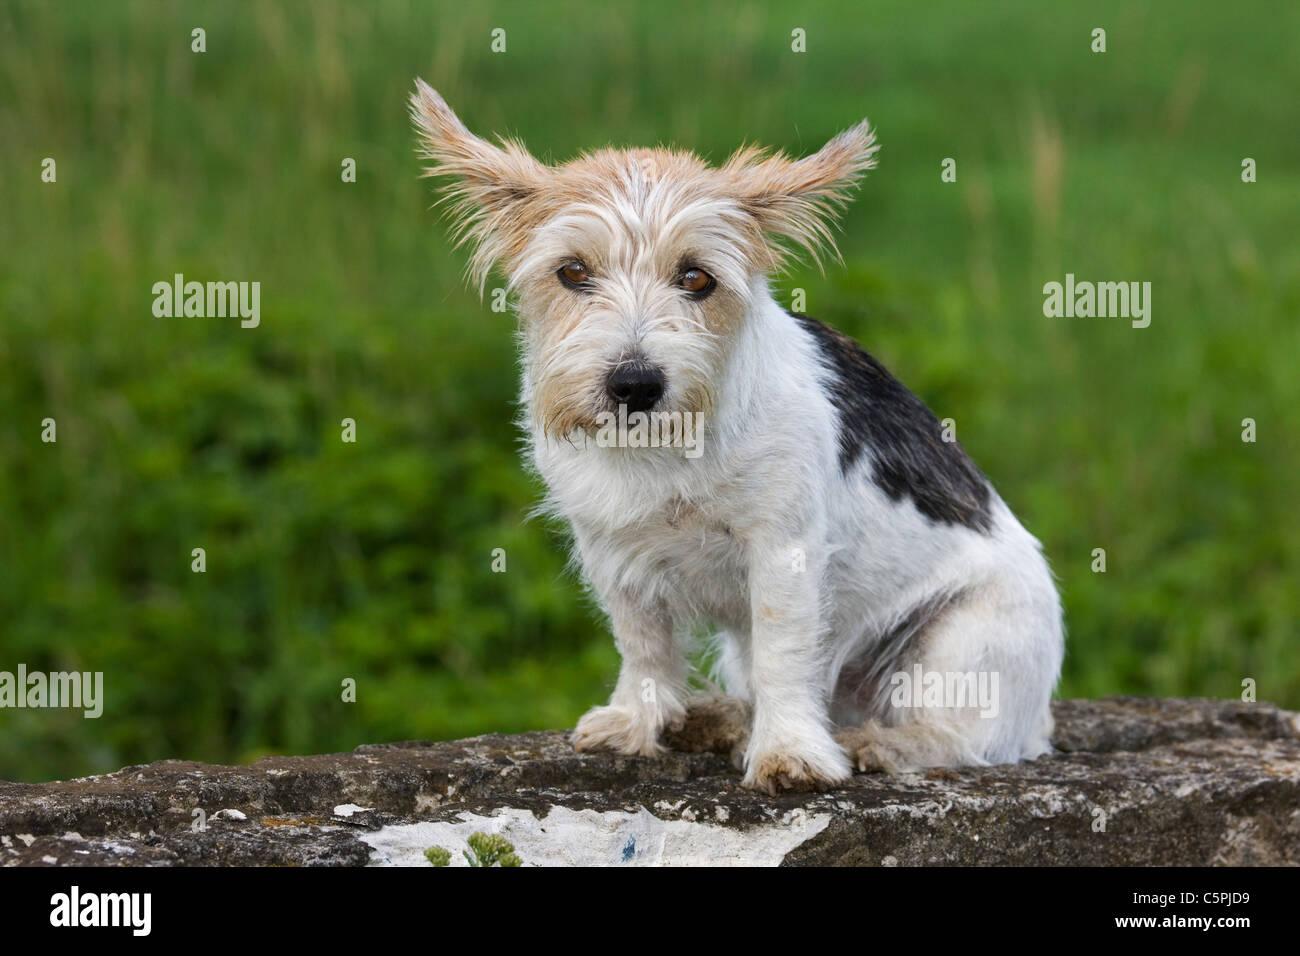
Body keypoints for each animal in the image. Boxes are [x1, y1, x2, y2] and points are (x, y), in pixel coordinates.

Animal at [410, 82, 1060, 796]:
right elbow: (643, 643)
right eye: (572, 271)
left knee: (959, 736)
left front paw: (789, 753)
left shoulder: (783, 551)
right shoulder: (612, 550)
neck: (666, 446)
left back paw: (876, 743)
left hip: (962, 640)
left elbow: (783, 653)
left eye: (697, 278)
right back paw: (719, 718)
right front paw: (637, 721)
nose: (634, 384)